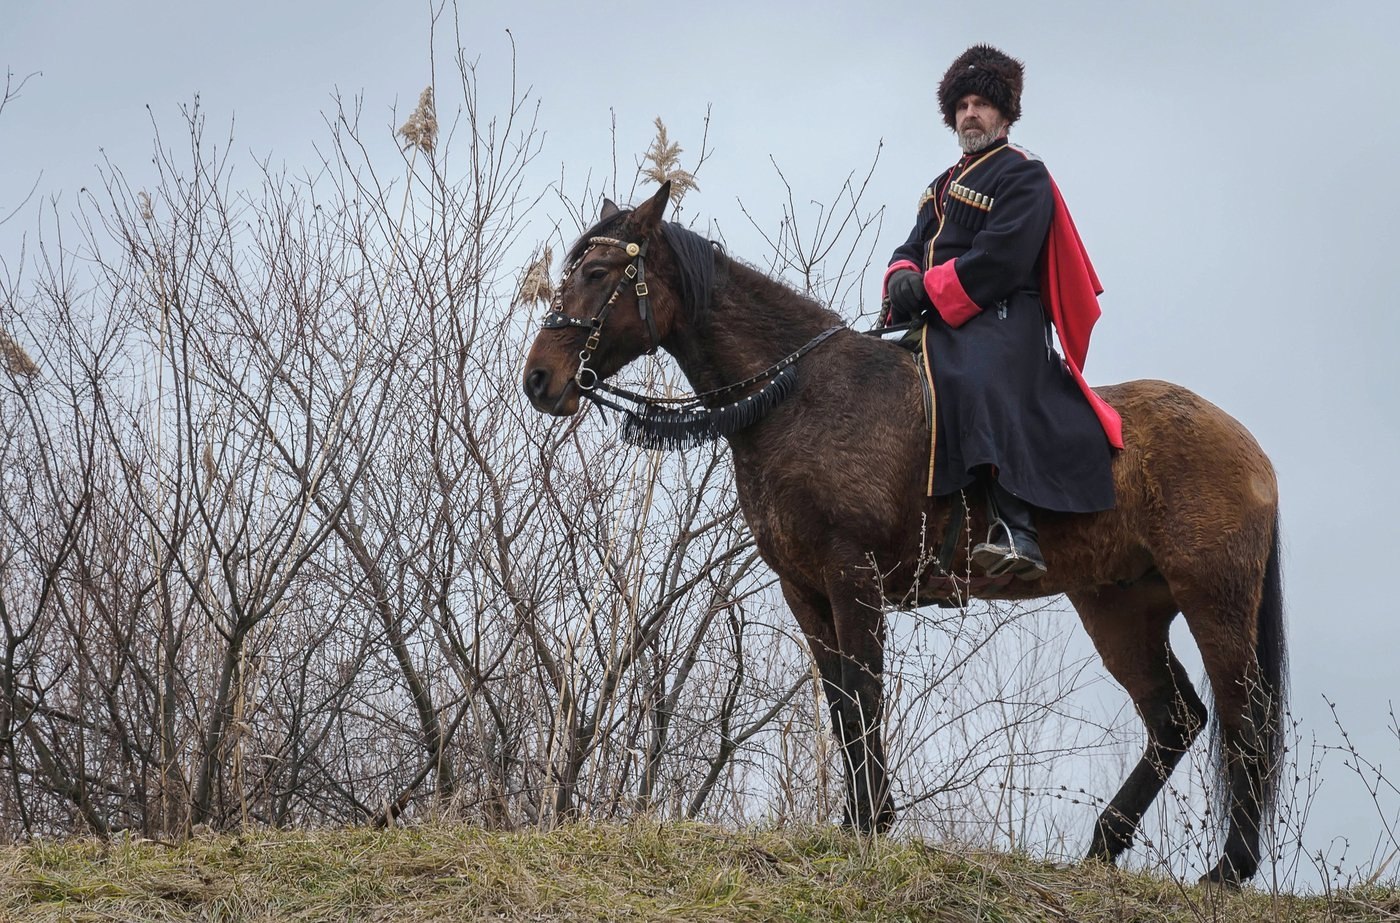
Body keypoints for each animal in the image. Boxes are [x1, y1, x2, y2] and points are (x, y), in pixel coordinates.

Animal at [520, 182, 1282, 890]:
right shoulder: (804, 589)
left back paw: (1230, 867)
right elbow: (839, 700)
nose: (539, 379)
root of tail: (1247, 446)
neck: (799, 395)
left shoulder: (851, 575)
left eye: (597, 271)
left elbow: (864, 691)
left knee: (1244, 713)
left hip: (1214, 598)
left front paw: (869, 821)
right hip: (1118, 607)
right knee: (1176, 717)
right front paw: (860, 817)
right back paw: (1103, 847)